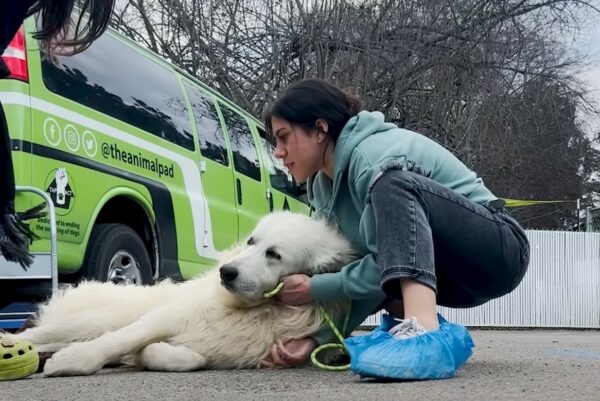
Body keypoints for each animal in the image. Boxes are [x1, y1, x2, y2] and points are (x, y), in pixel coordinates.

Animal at [2, 212, 354, 376]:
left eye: (274, 254)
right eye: (252, 241)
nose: (226, 272)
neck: (258, 309)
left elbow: (190, 358)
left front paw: (148, 355)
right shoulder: (166, 317)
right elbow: (123, 339)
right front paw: (75, 360)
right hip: (90, 321)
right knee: (35, 334)